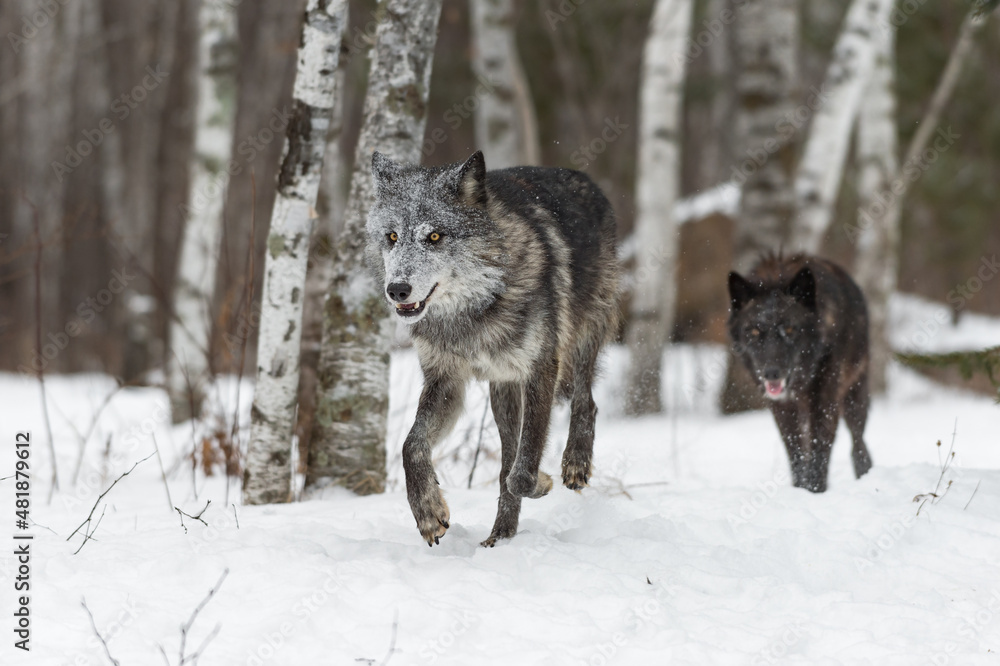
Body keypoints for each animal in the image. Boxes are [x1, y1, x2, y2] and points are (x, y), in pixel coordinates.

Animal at [366, 150, 620, 547]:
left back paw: (575, 464)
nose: (397, 290)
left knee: (586, 401)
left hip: (581, 341)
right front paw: (428, 513)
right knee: (505, 459)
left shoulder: (541, 369)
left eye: (434, 236)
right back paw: (501, 535)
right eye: (391, 236)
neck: (473, 312)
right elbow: (411, 446)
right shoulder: (446, 381)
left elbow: (524, 470)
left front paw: (543, 481)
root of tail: (584, 178)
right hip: (502, 391)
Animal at [727, 254, 873, 493]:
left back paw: (865, 475)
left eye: (789, 329)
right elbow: (795, 451)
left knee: (859, 443)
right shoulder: (782, 408)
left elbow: (819, 450)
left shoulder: (825, 401)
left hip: (854, 396)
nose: (771, 374)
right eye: (754, 331)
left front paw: (815, 491)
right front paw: (800, 489)